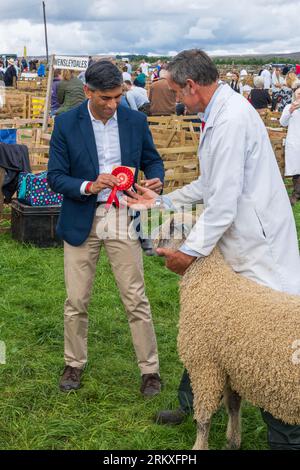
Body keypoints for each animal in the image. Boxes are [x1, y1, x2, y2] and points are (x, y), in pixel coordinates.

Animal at [154, 213, 300, 452]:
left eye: (172, 225)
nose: (149, 241)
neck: (209, 281)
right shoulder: (230, 366)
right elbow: (233, 406)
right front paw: (233, 441)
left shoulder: (204, 363)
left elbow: (204, 417)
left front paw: (199, 446)